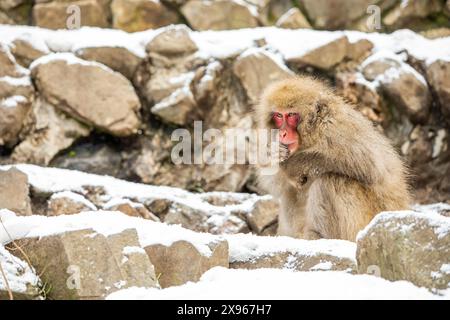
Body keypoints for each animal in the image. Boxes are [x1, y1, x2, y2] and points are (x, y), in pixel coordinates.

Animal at [255, 76, 410, 241]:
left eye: (291, 115)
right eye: (278, 115)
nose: (282, 133)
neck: (313, 132)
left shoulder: (336, 127)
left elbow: (369, 166)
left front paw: (293, 165)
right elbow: (278, 186)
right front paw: (273, 153)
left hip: (362, 224)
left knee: (330, 180)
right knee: (290, 191)